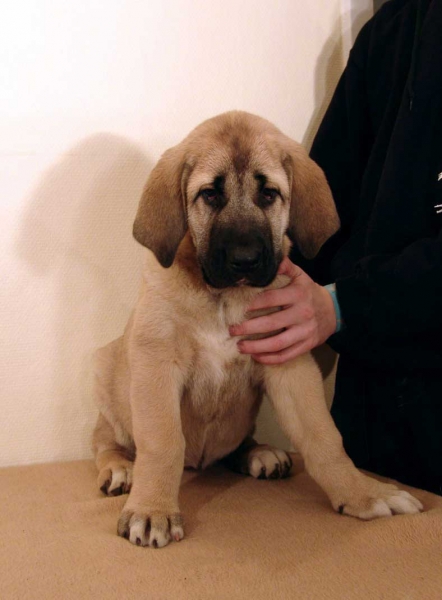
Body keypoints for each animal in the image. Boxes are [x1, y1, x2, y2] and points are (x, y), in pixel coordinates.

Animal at [91, 109, 424, 548]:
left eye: (269, 194)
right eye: (210, 195)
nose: (245, 260)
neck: (224, 298)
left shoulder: (289, 363)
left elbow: (324, 437)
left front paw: (362, 493)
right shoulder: (156, 364)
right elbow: (161, 443)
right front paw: (152, 510)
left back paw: (258, 453)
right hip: (105, 372)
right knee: (105, 440)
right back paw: (119, 468)